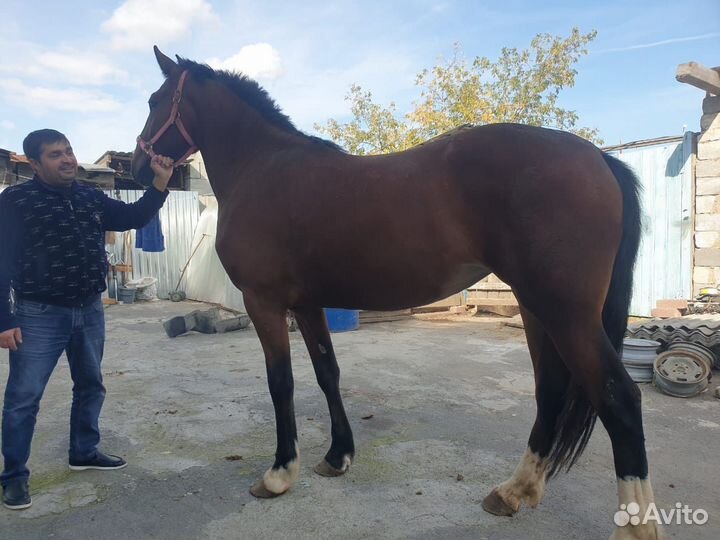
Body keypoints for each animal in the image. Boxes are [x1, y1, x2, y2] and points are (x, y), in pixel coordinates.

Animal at [131, 47, 662, 540]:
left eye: (155, 100)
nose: (138, 167)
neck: (261, 167)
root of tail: (598, 157)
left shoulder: (264, 301)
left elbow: (281, 383)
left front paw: (280, 474)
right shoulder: (307, 302)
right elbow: (327, 373)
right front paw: (337, 456)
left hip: (567, 315)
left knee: (619, 399)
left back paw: (633, 525)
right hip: (537, 309)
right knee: (550, 389)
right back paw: (514, 491)